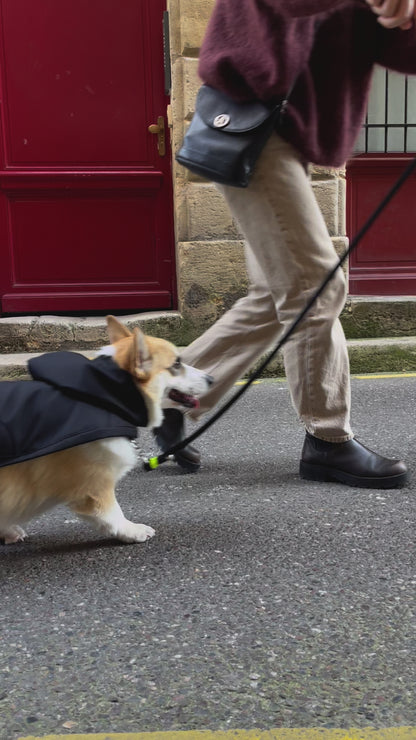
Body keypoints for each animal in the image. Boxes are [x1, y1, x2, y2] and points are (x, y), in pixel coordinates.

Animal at [0, 316, 211, 548]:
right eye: (176, 364)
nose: (212, 379)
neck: (106, 394)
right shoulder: (94, 484)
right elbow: (112, 513)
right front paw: (133, 531)